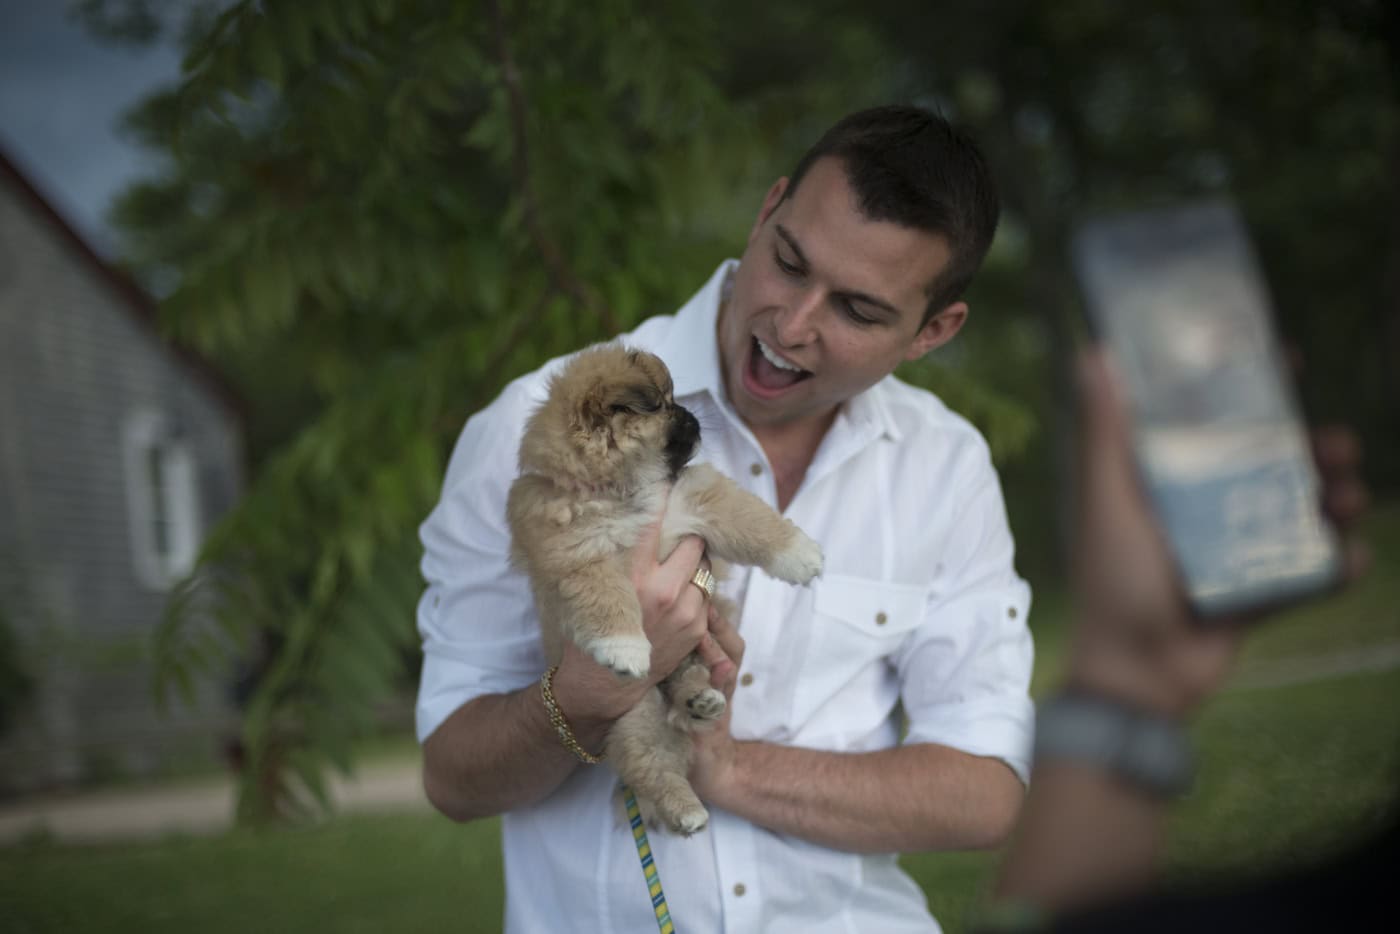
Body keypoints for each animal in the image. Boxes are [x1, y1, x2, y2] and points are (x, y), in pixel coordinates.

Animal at [509, 343, 823, 834]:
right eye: (663, 406)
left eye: (675, 400)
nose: (693, 416)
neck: (621, 493)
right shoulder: (581, 558)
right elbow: (608, 600)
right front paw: (626, 649)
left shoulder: (696, 499)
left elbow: (753, 521)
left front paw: (801, 554)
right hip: (633, 720)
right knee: (653, 766)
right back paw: (686, 809)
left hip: (698, 651)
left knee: (687, 692)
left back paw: (701, 701)